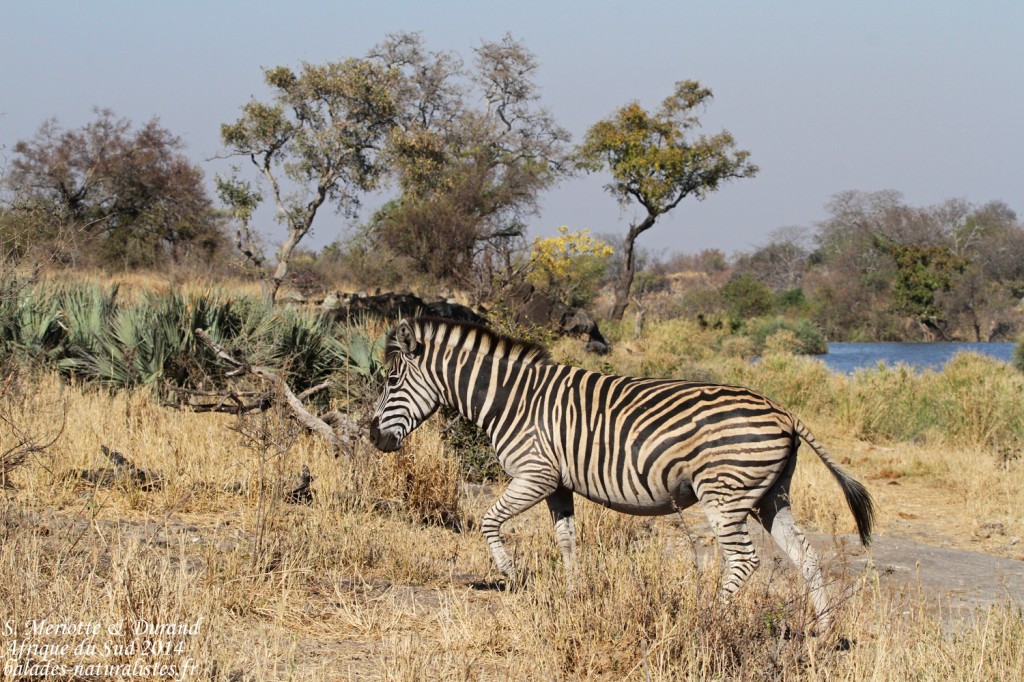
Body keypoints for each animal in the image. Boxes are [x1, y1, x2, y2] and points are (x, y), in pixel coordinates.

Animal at [369, 317, 874, 631]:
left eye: (391, 382)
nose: (373, 437)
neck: (511, 400)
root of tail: (784, 411)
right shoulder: (558, 484)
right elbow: (567, 540)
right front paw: (573, 595)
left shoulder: (534, 474)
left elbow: (488, 521)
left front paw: (513, 578)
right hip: (771, 497)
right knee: (805, 556)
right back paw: (824, 634)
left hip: (724, 496)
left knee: (744, 559)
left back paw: (709, 620)